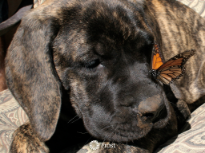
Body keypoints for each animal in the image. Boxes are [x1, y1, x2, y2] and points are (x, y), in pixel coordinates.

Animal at [4, 0, 205, 152]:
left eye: (148, 49)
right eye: (92, 62)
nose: (156, 110)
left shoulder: (169, 114)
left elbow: (127, 141)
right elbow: (27, 129)